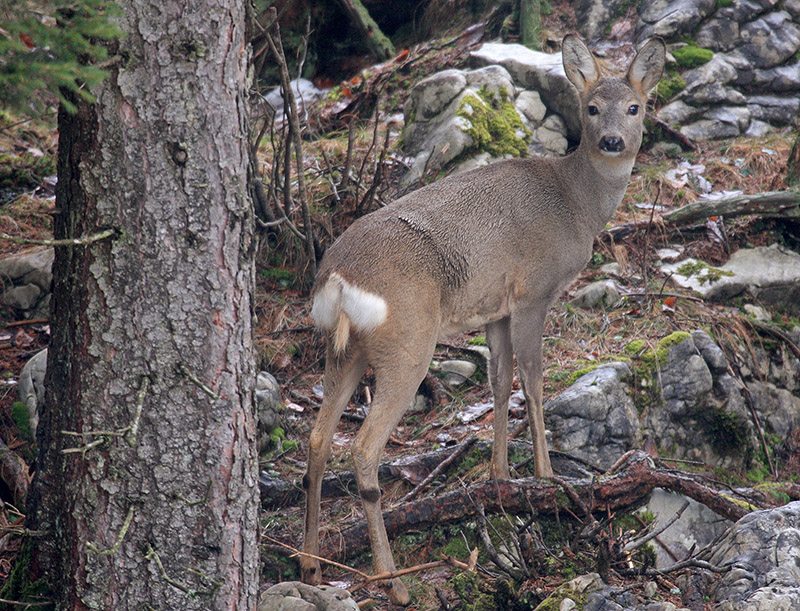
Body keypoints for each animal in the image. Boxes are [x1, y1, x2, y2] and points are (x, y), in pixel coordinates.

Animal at [300, 34, 664, 608]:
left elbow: (498, 381)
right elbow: (533, 383)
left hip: (346, 349)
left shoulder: (496, 307)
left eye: (635, 107)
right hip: (408, 341)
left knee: (317, 439)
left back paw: (312, 565)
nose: (611, 141)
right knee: (361, 448)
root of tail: (337, 278)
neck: (576, 204)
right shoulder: (534, 292)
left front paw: (499, 477)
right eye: (590, 107)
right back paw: (392, 582)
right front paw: (545, 478)